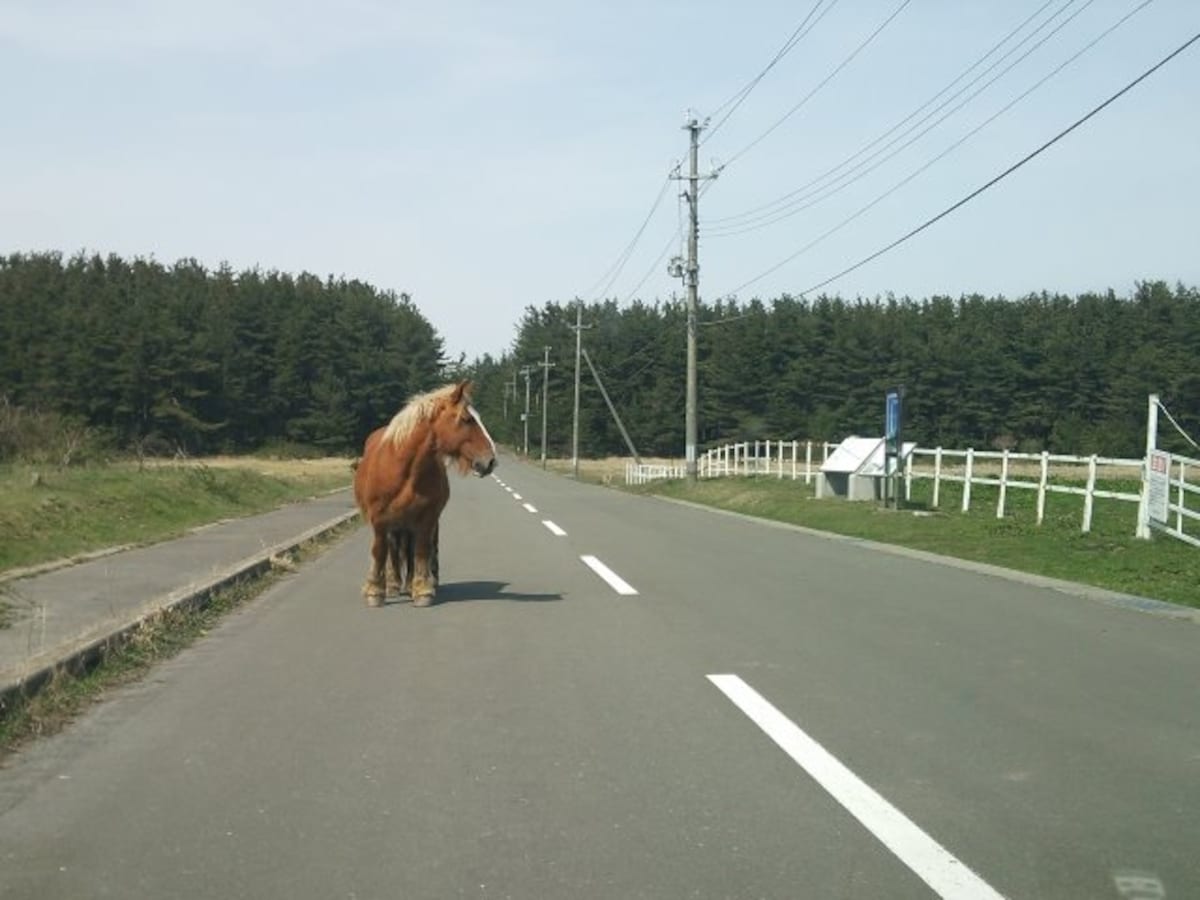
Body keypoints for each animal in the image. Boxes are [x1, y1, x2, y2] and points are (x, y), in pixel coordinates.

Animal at [353, 380, 497, 607]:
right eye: (467, 419)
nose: (490, 460)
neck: (403, 469)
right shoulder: (379, 520)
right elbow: (379, 551)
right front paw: (375, 591)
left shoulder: (426, 519)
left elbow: (421, 551)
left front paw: (422, 590)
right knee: (392, 550)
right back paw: (393, 584)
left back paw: (416, 582)